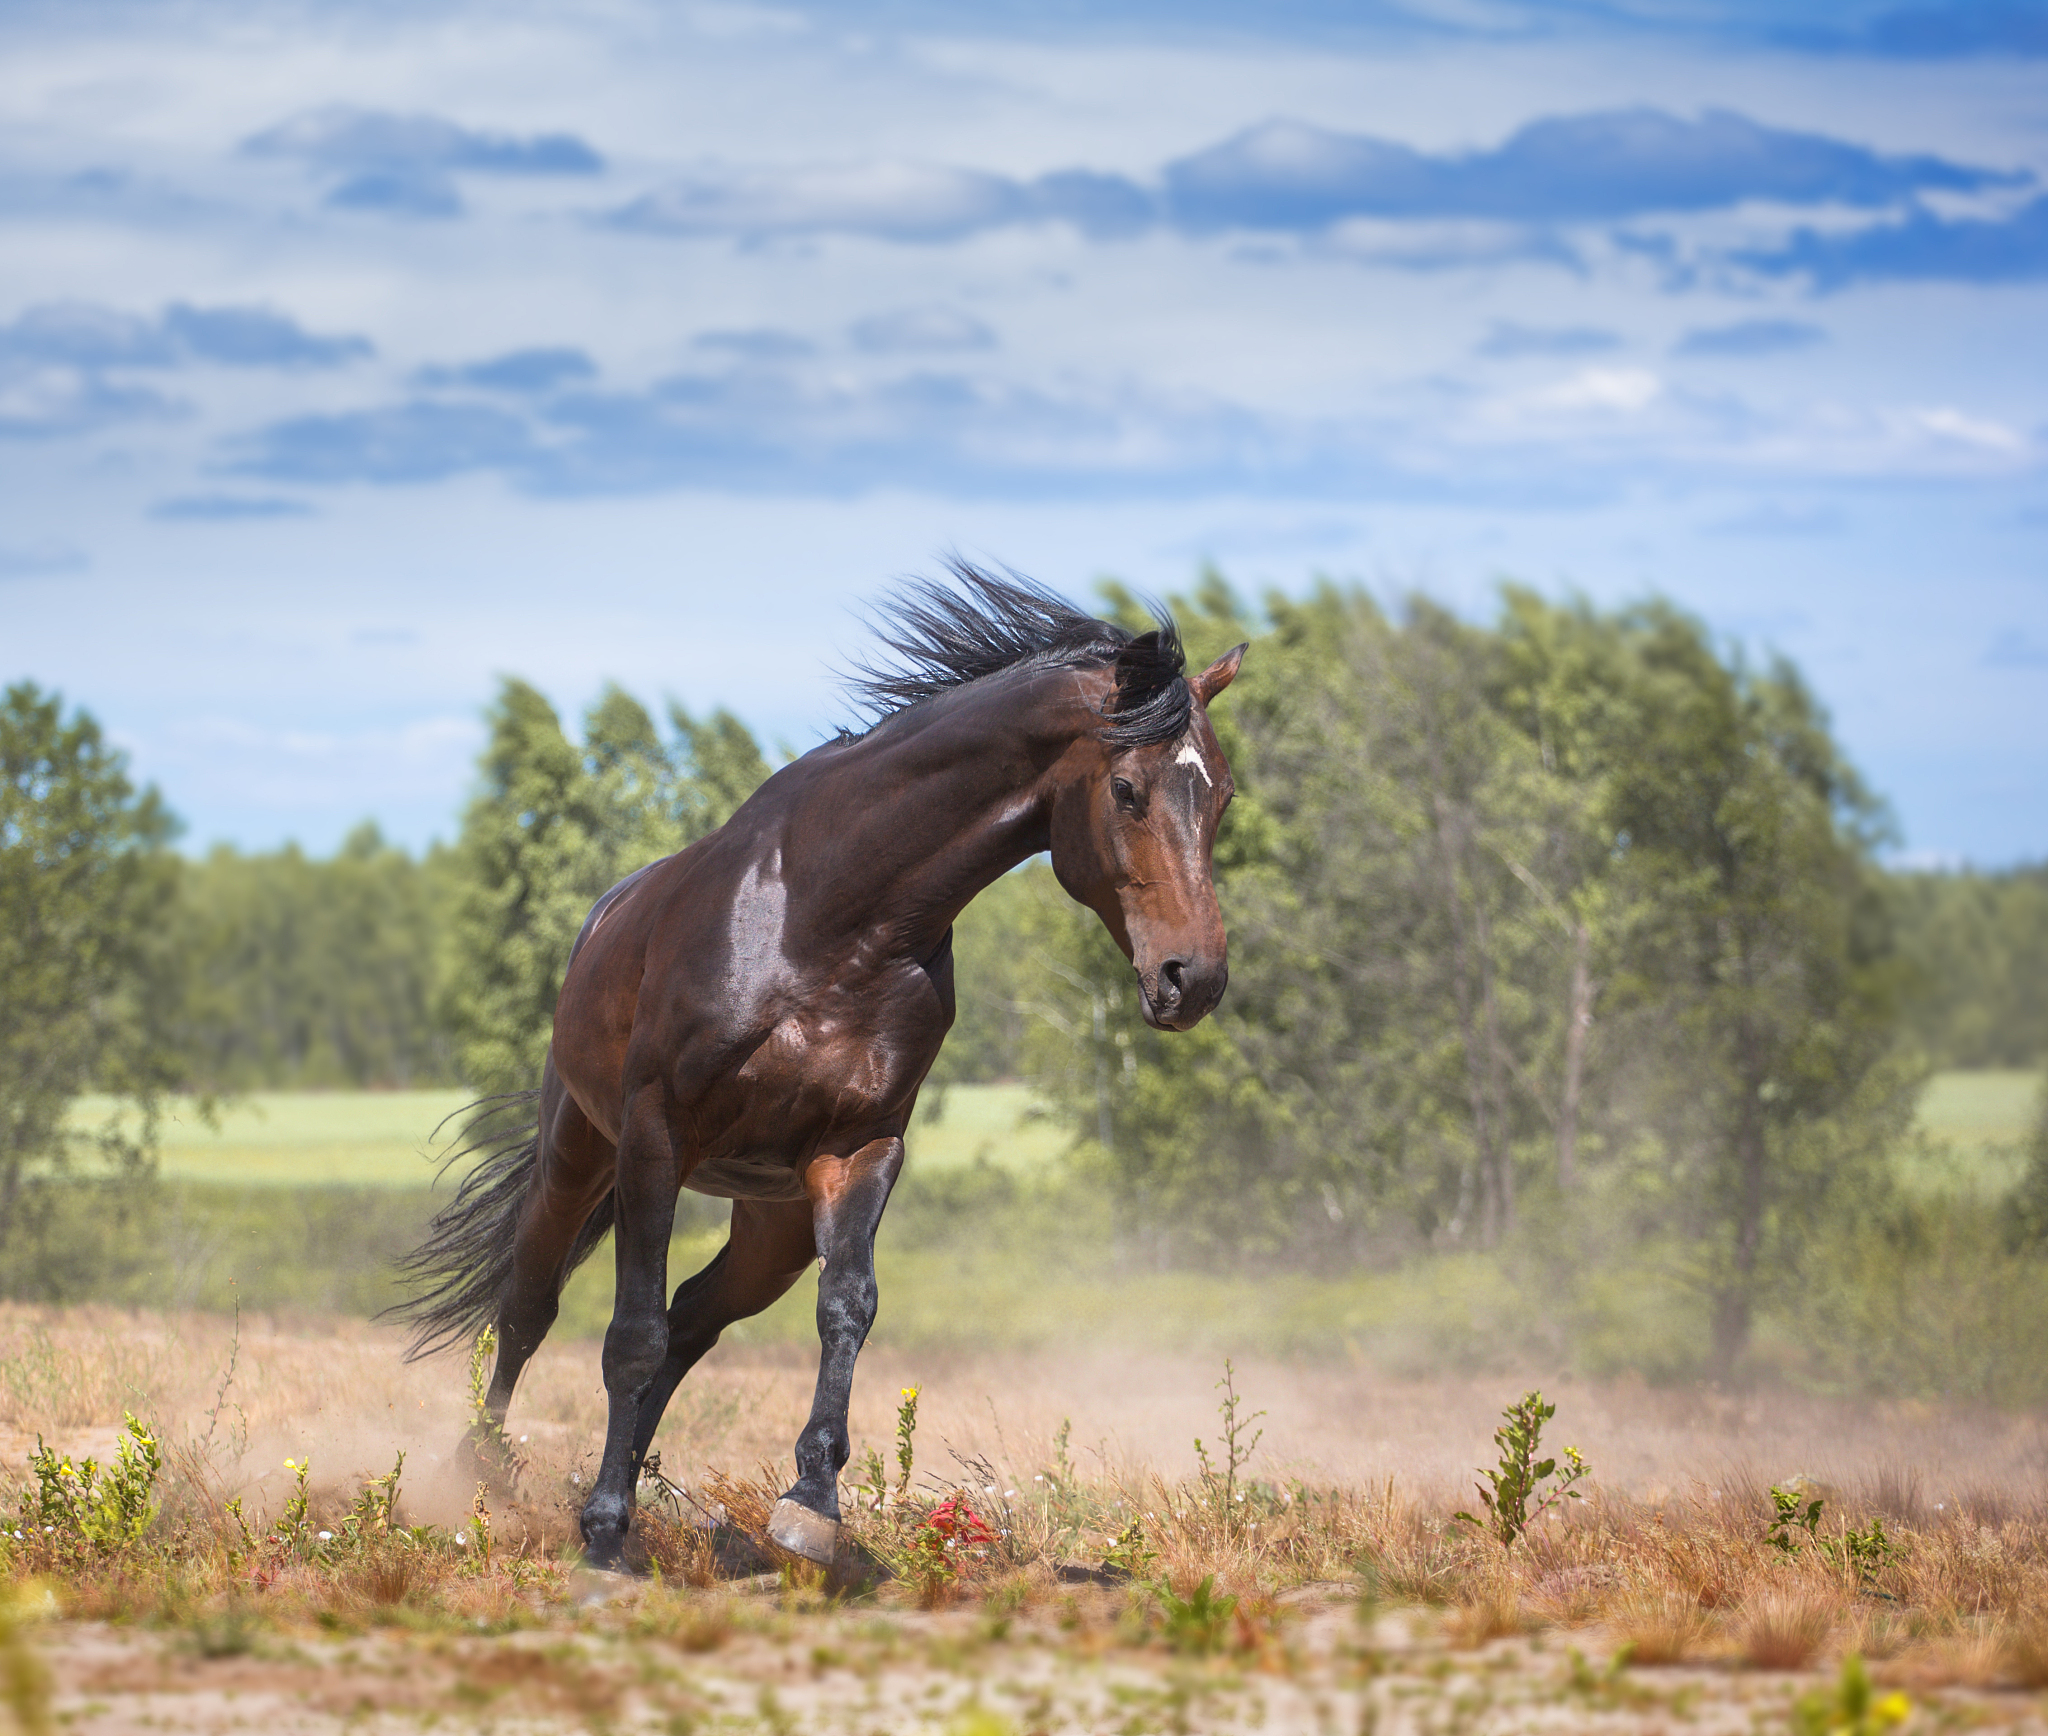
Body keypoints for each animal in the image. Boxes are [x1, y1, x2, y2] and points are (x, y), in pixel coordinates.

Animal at [396, 565, 1246, 1569]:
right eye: (1126, 789)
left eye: (1224, 798)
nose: (1193, 979)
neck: (831, 921)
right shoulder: (656, 1137)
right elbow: (628, 1332)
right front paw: (604, 1535)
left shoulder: (860, 1149)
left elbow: (846, 1308)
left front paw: (811, 1503)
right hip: (580, 1154)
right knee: (532, 1306)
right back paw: (484, 1477)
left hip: (772, 1222)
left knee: (693, 1319)